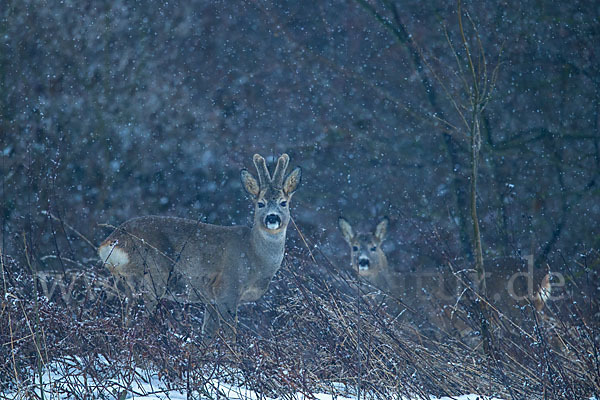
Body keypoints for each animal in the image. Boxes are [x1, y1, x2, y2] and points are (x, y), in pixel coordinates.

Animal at [100, 152, 302, 338]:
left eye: (283, 203)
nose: (272, 218)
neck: (255, 257)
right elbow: (230, 334)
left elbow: (207, 335)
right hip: (152, 276)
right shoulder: (227, 289)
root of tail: (111, 241)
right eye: (260, 203)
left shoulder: (209, 299)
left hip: (126, 281)